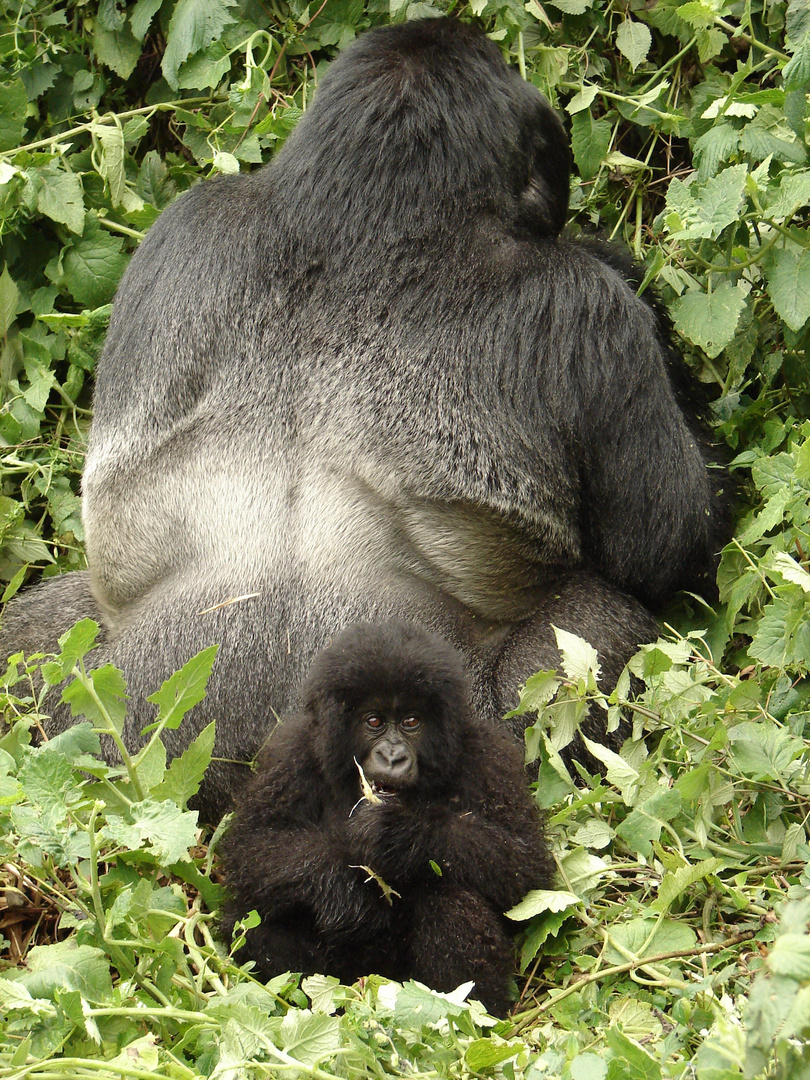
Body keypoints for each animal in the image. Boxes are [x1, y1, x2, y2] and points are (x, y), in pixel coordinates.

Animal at [0, 14, 730, 816]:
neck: (364, 208)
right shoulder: (584, 305)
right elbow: (671, 542)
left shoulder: (188, 220)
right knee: (595, 635)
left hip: (131, 741)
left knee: (35, 636)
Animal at [219, 622, 557, 1015]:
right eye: (374, 721)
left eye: (411, 721)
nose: (393, 756)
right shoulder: (292, 751)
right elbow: (253, 846)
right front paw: (340, 885)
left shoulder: (489, 754)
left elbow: (525, 867)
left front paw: (401, 835)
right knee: (256, 916)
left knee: (450, 896)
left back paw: (462, 1012)